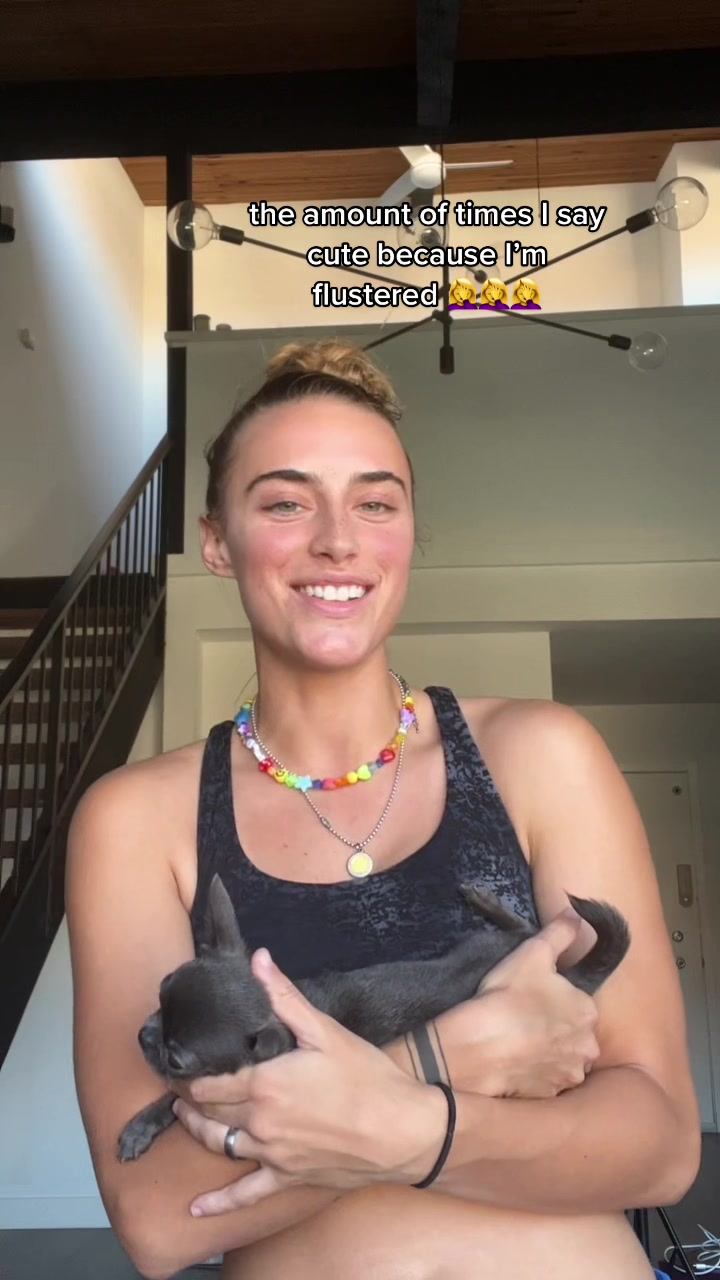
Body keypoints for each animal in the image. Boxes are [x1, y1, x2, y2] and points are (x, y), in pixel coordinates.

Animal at [117, 874, 630, 1162]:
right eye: (162, 989)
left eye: (177, 1057)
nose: (141, 1034)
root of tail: (568, 977)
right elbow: (171, 1100)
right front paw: (143, 1124)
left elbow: (176, 1094)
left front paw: (144, 1123)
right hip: (486, 947)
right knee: (526, 928)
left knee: (528, 927)